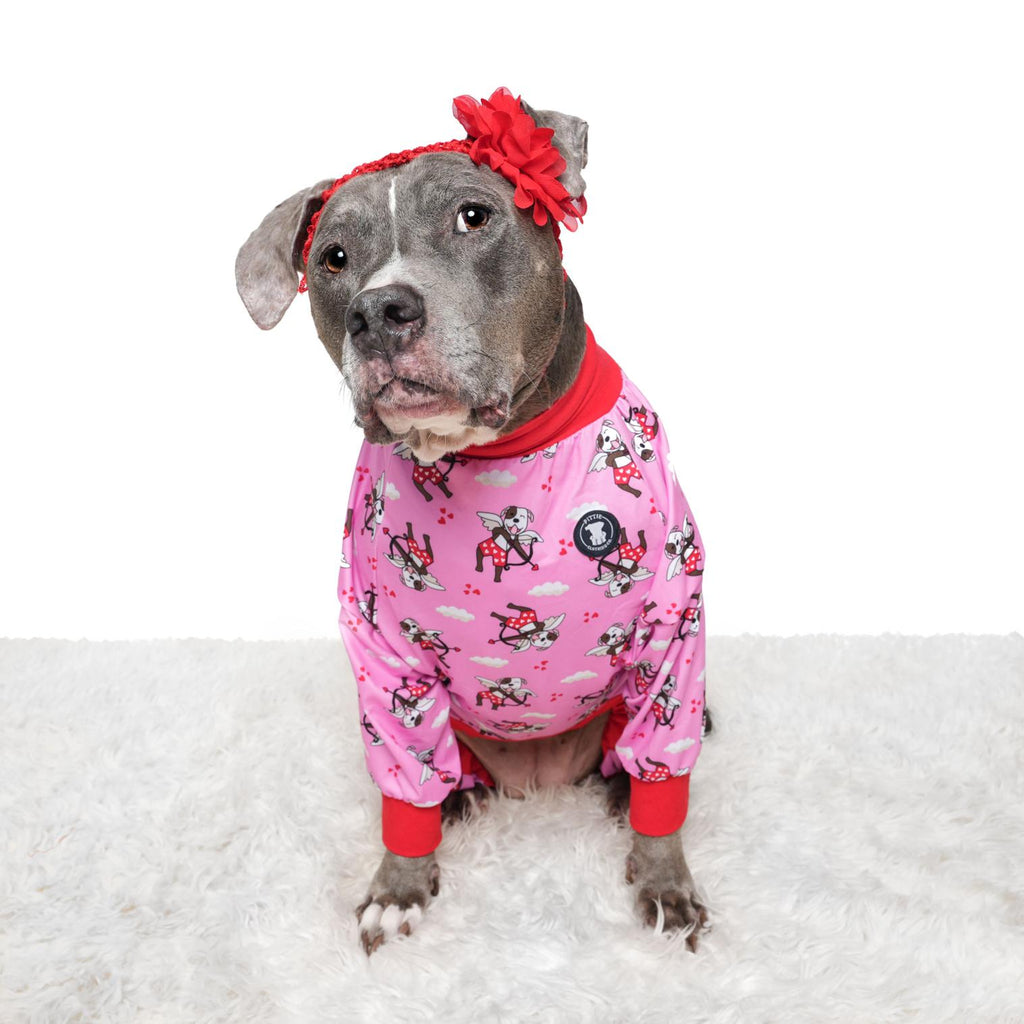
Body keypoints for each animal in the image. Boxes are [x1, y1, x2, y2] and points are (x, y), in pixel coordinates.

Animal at [235, 86, 708, 950]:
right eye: (334, 259)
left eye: (472, 216)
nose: (378, 312)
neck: (496, 455)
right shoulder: (383, 655)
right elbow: (404, 777)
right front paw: (400, 882)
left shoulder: (672, 631)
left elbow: (665, 766)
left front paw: (664, 879)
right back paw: (459, 797)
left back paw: (620, 793)